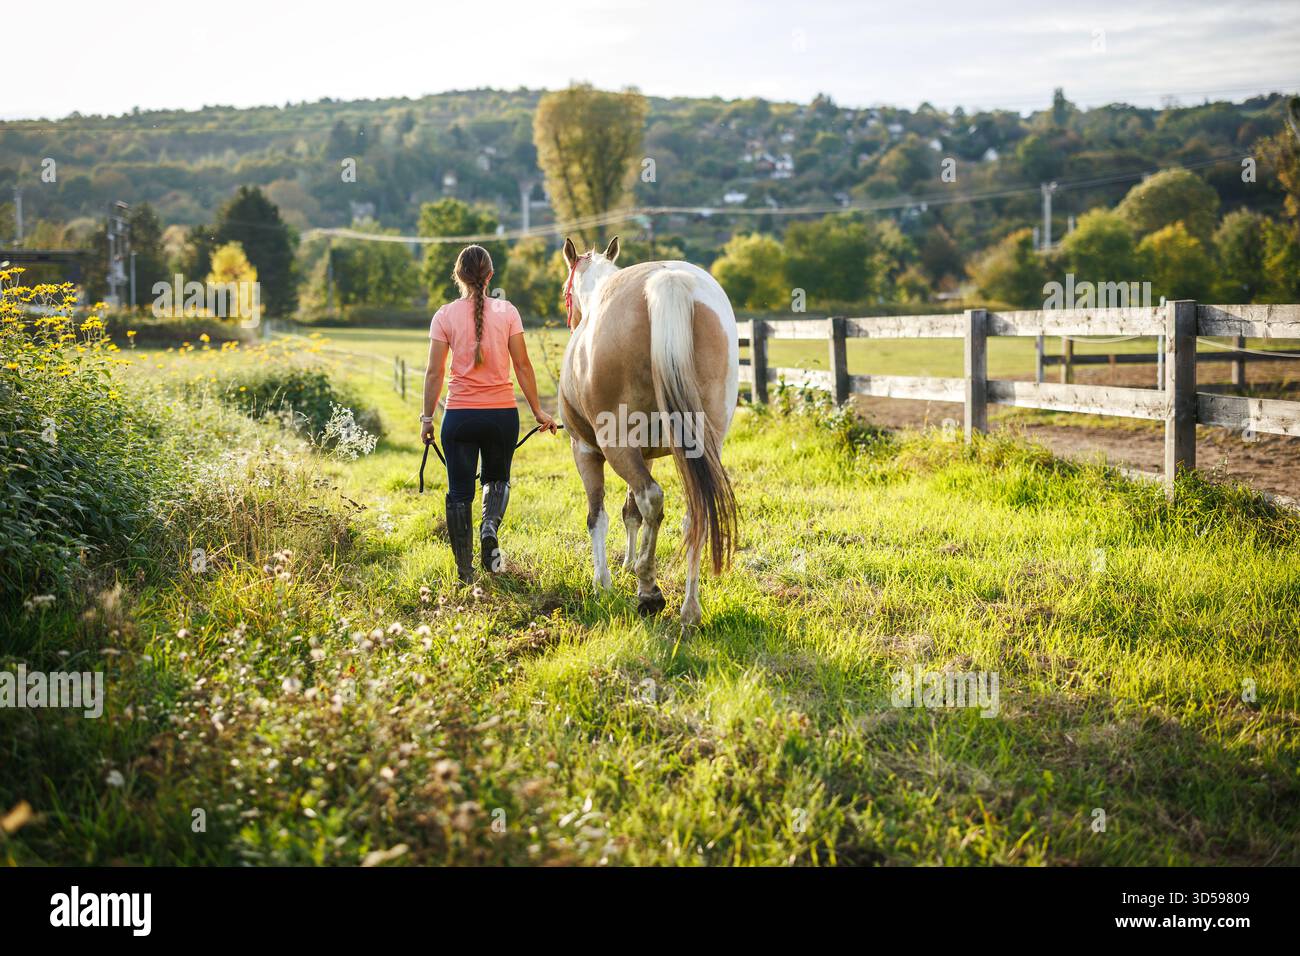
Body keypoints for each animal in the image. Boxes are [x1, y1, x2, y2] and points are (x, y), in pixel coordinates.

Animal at [558, 235, 739, 628]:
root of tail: (666, 282)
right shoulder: (647, 454)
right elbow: (632, 513)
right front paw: (628, 564)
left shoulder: (585, 451)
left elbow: (599, 516)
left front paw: (603, 581)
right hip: (703, 444)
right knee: (693, 514)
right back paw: (688, 609)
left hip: (616, 446)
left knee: (651, 498)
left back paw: (649, 592)